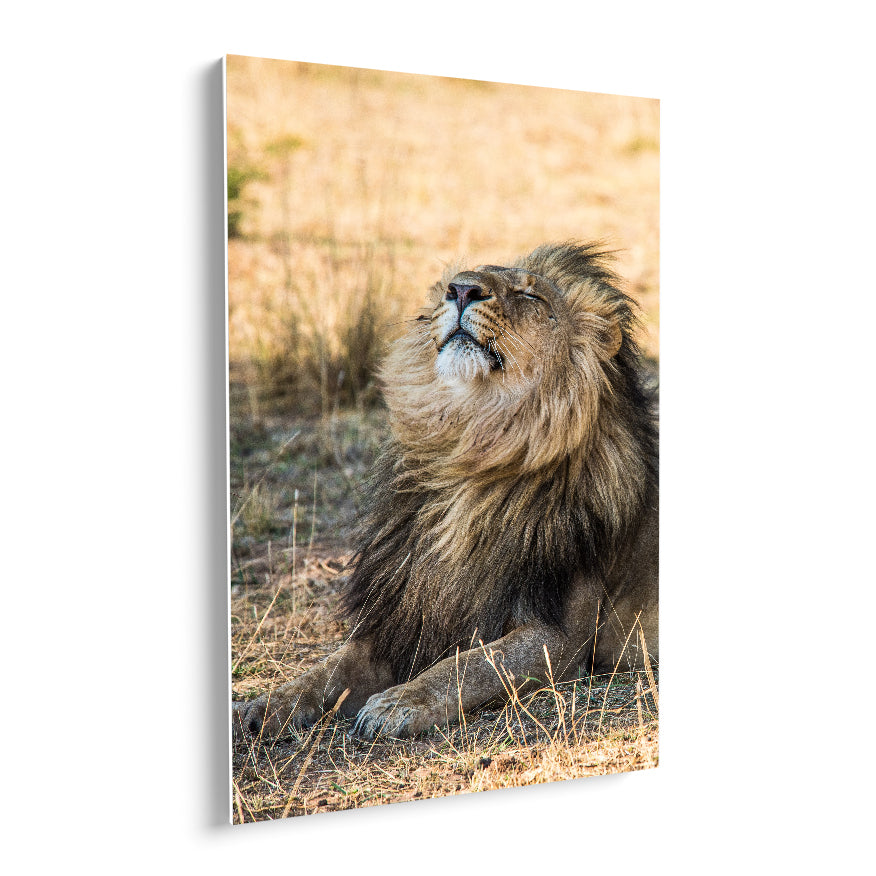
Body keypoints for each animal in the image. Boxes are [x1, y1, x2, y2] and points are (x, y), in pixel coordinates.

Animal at [233, 242, 658, 742]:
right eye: (451, 286)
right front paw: (264, 705)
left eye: (530, 296)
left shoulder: (560, 638)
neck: (472, 452)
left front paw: (398, 703)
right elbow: (326, 670)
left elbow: (468, 664)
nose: (462, 290)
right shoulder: (403, 616)